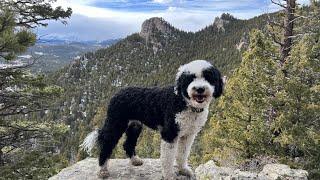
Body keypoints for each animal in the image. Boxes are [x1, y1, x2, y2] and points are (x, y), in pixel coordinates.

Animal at [80, 59, 225, 179]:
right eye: (190, 78)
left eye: (209, 78)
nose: (199, 89)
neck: (184, 102)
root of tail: (117, 93)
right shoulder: (169, 134)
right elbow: (167, 158)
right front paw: (169, 175)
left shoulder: (188, 135)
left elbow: (183, 154)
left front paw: (183, 170)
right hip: (116, 124)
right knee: (107, 143)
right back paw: (102, 170)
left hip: (134, 126)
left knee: (128, 143)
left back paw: (135, 160)